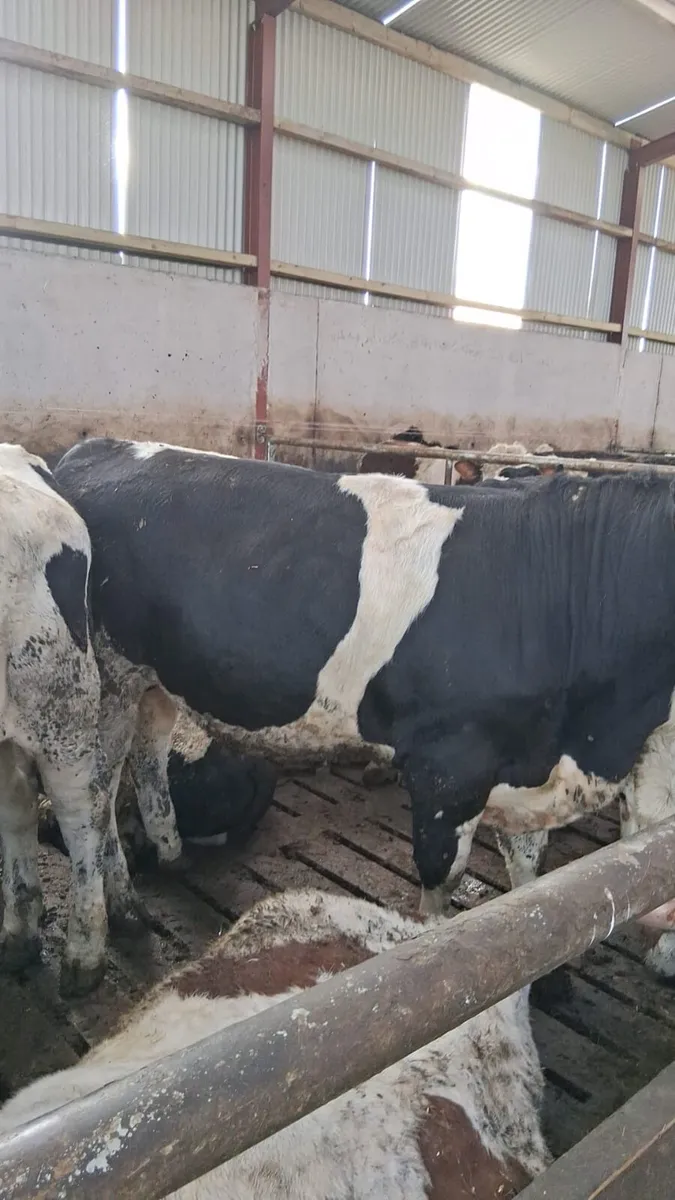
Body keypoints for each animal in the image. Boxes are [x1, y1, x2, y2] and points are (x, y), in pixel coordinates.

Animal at [52, 440, 675, 930]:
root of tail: (99, 445)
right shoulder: (448, 768)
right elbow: (441, 887)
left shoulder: (531, 766)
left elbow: (529, 883)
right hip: (109, 677)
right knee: (96, 791)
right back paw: (118, 908)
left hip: (158, 678)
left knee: (149, 756)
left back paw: (169, 852)